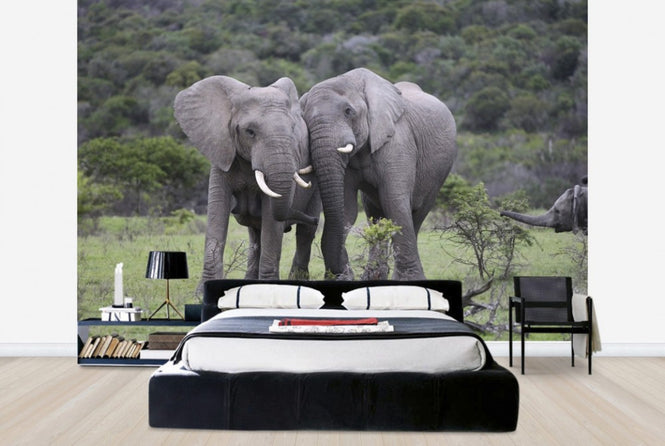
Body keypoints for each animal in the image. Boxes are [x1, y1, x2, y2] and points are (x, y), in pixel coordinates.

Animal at [174, 75, 320, 290]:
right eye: (250, 132)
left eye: (293, 130)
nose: (316, 219)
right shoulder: (221, 150)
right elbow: (217, 213)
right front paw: (202, 292)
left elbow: (271, 221)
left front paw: (270, 289)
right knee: (255, 233)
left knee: (304, 233)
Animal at [300, 68, 457, 280]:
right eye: (304, 118)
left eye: (348, 111)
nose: (337, 274)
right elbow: (347, 208)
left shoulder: (398, 141)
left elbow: (394, 202)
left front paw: (409, 281)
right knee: (375, 213)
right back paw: (374, 276)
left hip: (438, 174)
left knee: (417, 213)